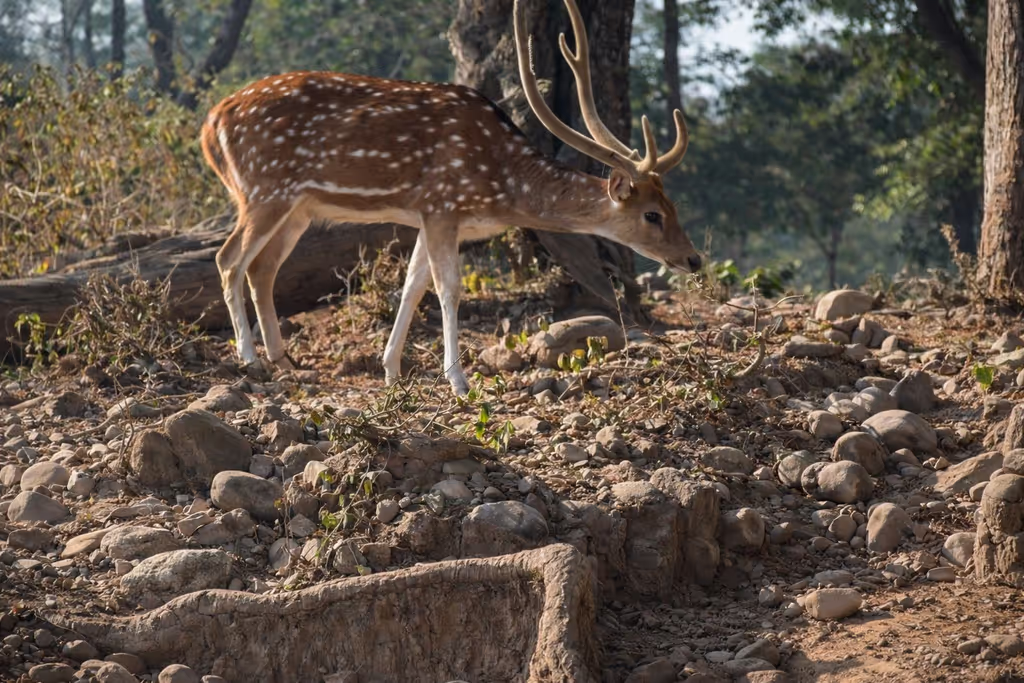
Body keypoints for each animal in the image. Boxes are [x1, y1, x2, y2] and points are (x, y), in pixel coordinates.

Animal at [200, 0, 701, 396]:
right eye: (652, 215)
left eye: (675, 206)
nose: (693, 259)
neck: (501, 186)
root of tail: (211, 122)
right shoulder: (443, 204)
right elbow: (448, 288)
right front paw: (458, 380)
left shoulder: (431, 215)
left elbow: (412, 285)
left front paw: (391, 371)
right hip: (263, 189)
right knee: (229, 259)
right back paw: (250, 358)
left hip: (299, 207)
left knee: (263, 269)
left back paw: (283, 360)